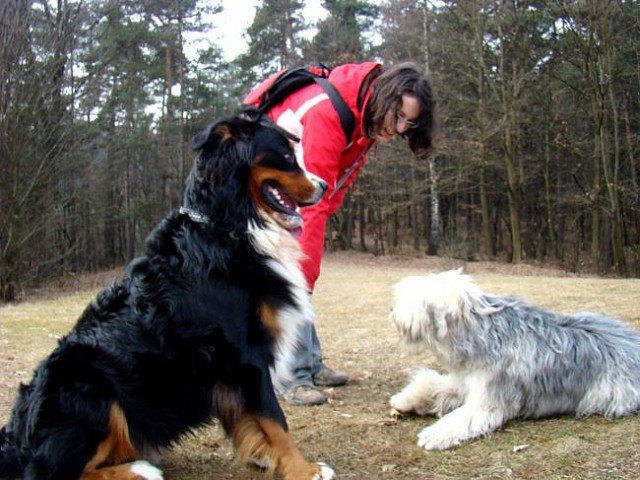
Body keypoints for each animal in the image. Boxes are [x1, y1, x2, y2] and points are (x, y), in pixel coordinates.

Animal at [1, 117, 336, 480]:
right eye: (287, 156)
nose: (324, 186)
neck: (228, 227)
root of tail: (17, 436)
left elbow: (251, 419)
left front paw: (265, 456)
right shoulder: (246, 356)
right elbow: (275, 419)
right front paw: (303, 469)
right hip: (91, 386)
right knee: (57, 472)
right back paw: (139, 469)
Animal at [388, 270, 640, 450]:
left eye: (412, 297)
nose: (391, 310)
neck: (483, 332)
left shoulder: (490, 399)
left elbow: (462, 418)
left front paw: (433, 435)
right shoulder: (464, 381)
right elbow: (432, 385)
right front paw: (404, 399)